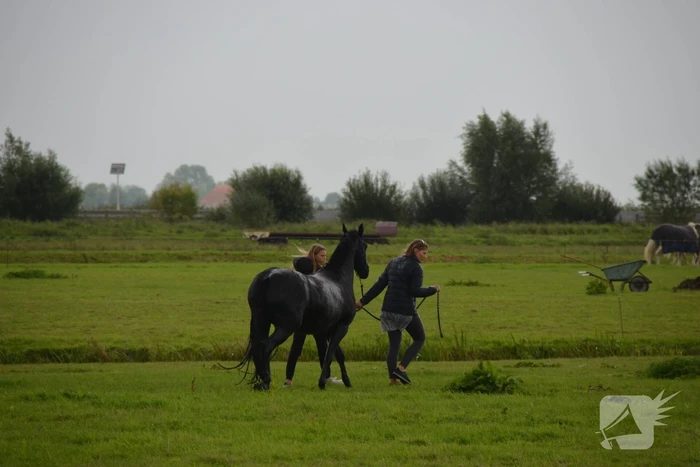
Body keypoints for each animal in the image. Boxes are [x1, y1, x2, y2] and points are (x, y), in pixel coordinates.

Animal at [234, 223, 369, 390]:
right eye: (365, 245)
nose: (366, 271)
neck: (338, 279)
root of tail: (268, 277)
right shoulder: (342, 327)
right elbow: (330, 354)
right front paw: (323, 382)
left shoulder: (328, 330)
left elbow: (337, 355)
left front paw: (346, 380)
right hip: (287, 327)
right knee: (266, 346)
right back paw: (266, 380)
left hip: (261, 321)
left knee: (257, 347)